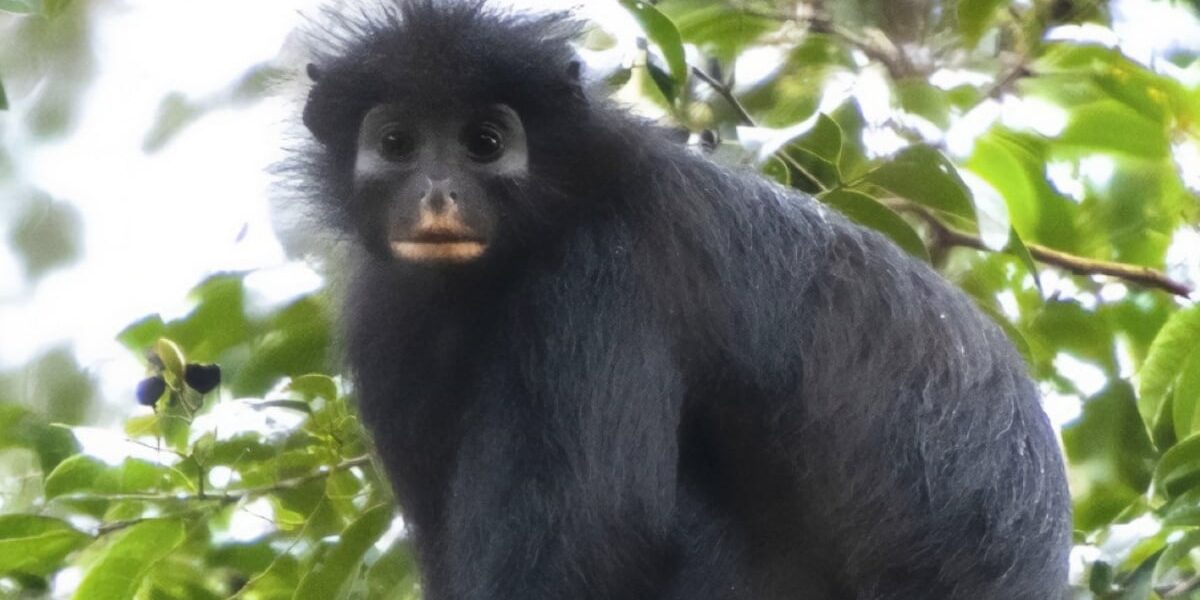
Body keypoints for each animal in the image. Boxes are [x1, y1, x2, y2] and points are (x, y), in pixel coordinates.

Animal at [293, 1, 1072, 598]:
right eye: (398, 142)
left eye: (483, 142)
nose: (437, 194)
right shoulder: (388, 318)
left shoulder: (600, 273)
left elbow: (597, 539)